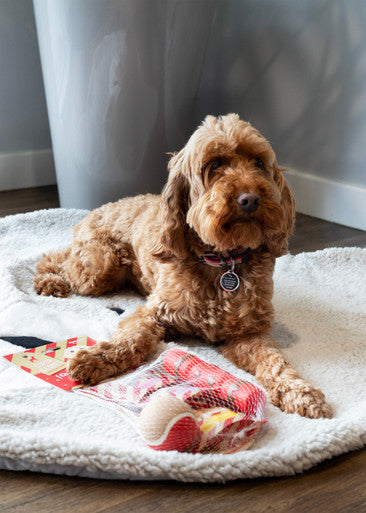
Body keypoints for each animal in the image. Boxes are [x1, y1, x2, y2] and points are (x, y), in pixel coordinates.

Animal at [34, 113, 332, 416]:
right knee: (56, 257)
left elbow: (275, 361)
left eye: (258, 162)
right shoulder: (154, 312)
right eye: (215, 164)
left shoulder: (248, 333)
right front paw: (96, 357)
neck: (222, 262)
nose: (250, 199)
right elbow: (133, 337)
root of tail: (99, 208)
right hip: (100, 265)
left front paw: (299, 391)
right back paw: (49, 281)